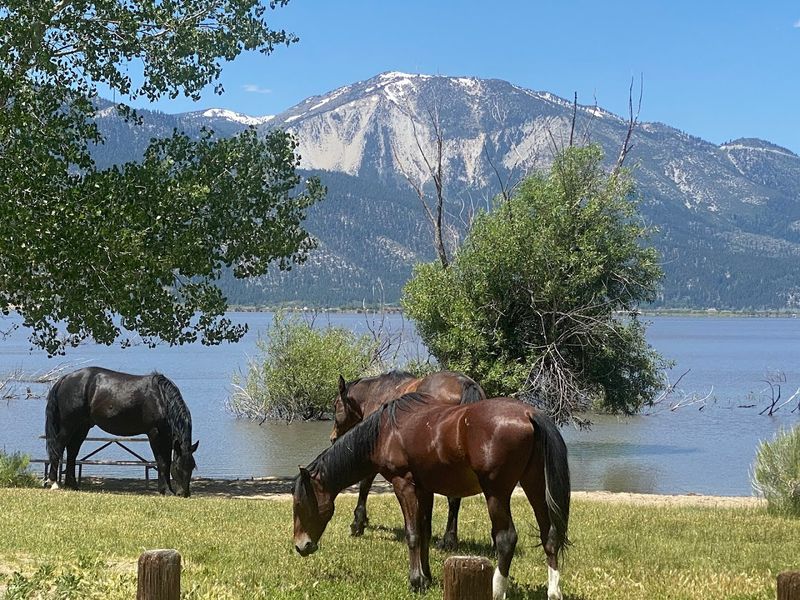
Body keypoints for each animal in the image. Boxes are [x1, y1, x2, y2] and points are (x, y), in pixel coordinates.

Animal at [44, 367, 199, 497]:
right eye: (178, 468)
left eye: (192, 467)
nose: (184, 494)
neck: (161, 399)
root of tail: (65, 378)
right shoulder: (155, 433)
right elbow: (162, 462)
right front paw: (166, 490)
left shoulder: (166, 436)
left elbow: (166, 462)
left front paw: (166, 490)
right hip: (68, 425)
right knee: (58, 447)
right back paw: (54, 483)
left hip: (82, 426)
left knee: (72, 451)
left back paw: (72, 485)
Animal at [294, 393, 570, 600]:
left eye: (300, 506)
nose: (301, 546)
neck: (385, 431)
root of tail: (528, 414)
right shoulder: (424, 489)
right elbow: (425, 532)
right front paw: (426, 577)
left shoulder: (403, 485)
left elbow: (413, 534)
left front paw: (415, 581)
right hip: (534, 485)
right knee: (549, 535)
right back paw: (553, 592)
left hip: (497, 493)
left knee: (506, 539)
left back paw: (496, 591)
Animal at [331, 370, 486, 549]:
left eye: (335, 405)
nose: (333, 438)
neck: (376, 393)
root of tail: (464, 383)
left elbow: (365, 485)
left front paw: (358, 523)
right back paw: (449, 539)